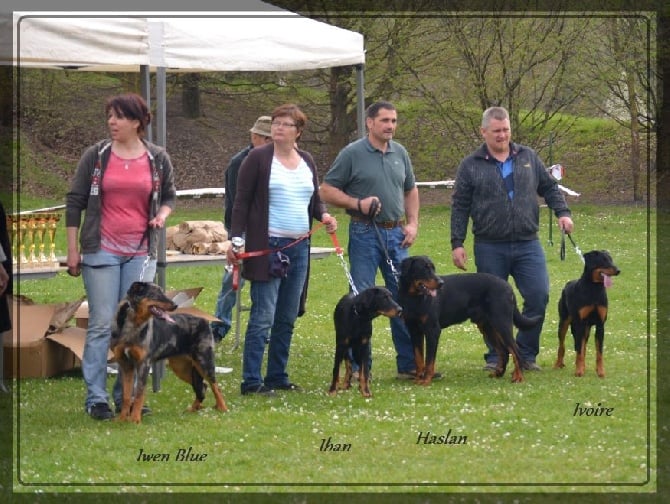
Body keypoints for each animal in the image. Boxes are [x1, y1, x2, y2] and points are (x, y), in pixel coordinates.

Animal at [109, 282, 227, 424]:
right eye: (157, 294)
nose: (175, 305)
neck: (133, 324)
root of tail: (204, 321)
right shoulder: (126, 365)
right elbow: (126, 396)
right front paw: (122, 419)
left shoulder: (143, 364)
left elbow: (139, 395)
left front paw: (135, 419)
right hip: (182, 367)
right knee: (202, 386)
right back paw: (193, 409)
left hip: (203, 361)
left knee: (215, 386)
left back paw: (223, 408)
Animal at [402, 258, 544, 384]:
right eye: (424, 268)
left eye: (432, 268)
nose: (441, 283)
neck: (414, 298)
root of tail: (507, 285)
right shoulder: (414, 331)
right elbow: (419, 359)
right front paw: (418, 379)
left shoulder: (433, 330)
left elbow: (429, 360)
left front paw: (426, 380)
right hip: (488, 327)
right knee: (504, 351)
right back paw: (498, 374)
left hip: (502, 323)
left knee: (516, 351)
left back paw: (518, 377)